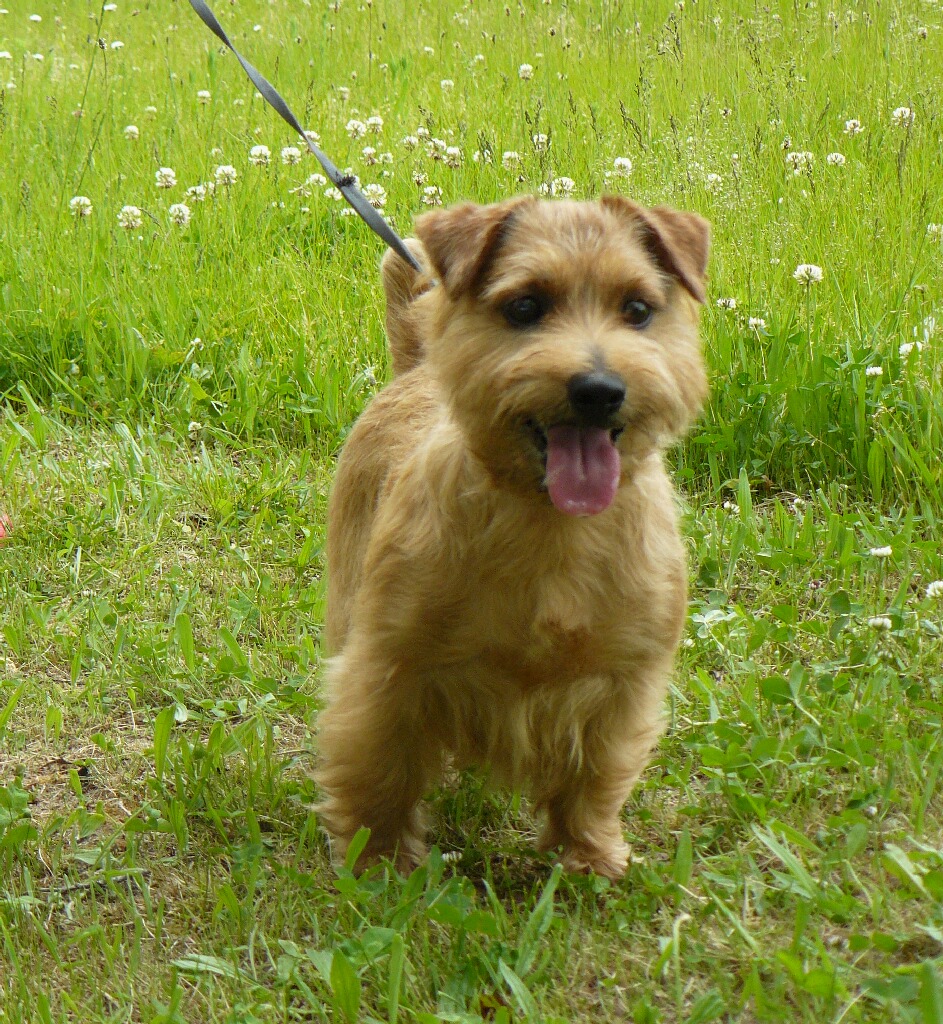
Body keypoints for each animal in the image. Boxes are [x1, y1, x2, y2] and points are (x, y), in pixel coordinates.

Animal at [316, 195, 709, 878]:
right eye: (525, 306)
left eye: (637, 309)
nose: (599, 389)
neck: (551, 526)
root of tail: (419, 367)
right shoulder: (390, 669)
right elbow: (380, 768)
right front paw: (380, 860)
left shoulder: (621, 686)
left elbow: (594, 779)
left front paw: (588, 857)